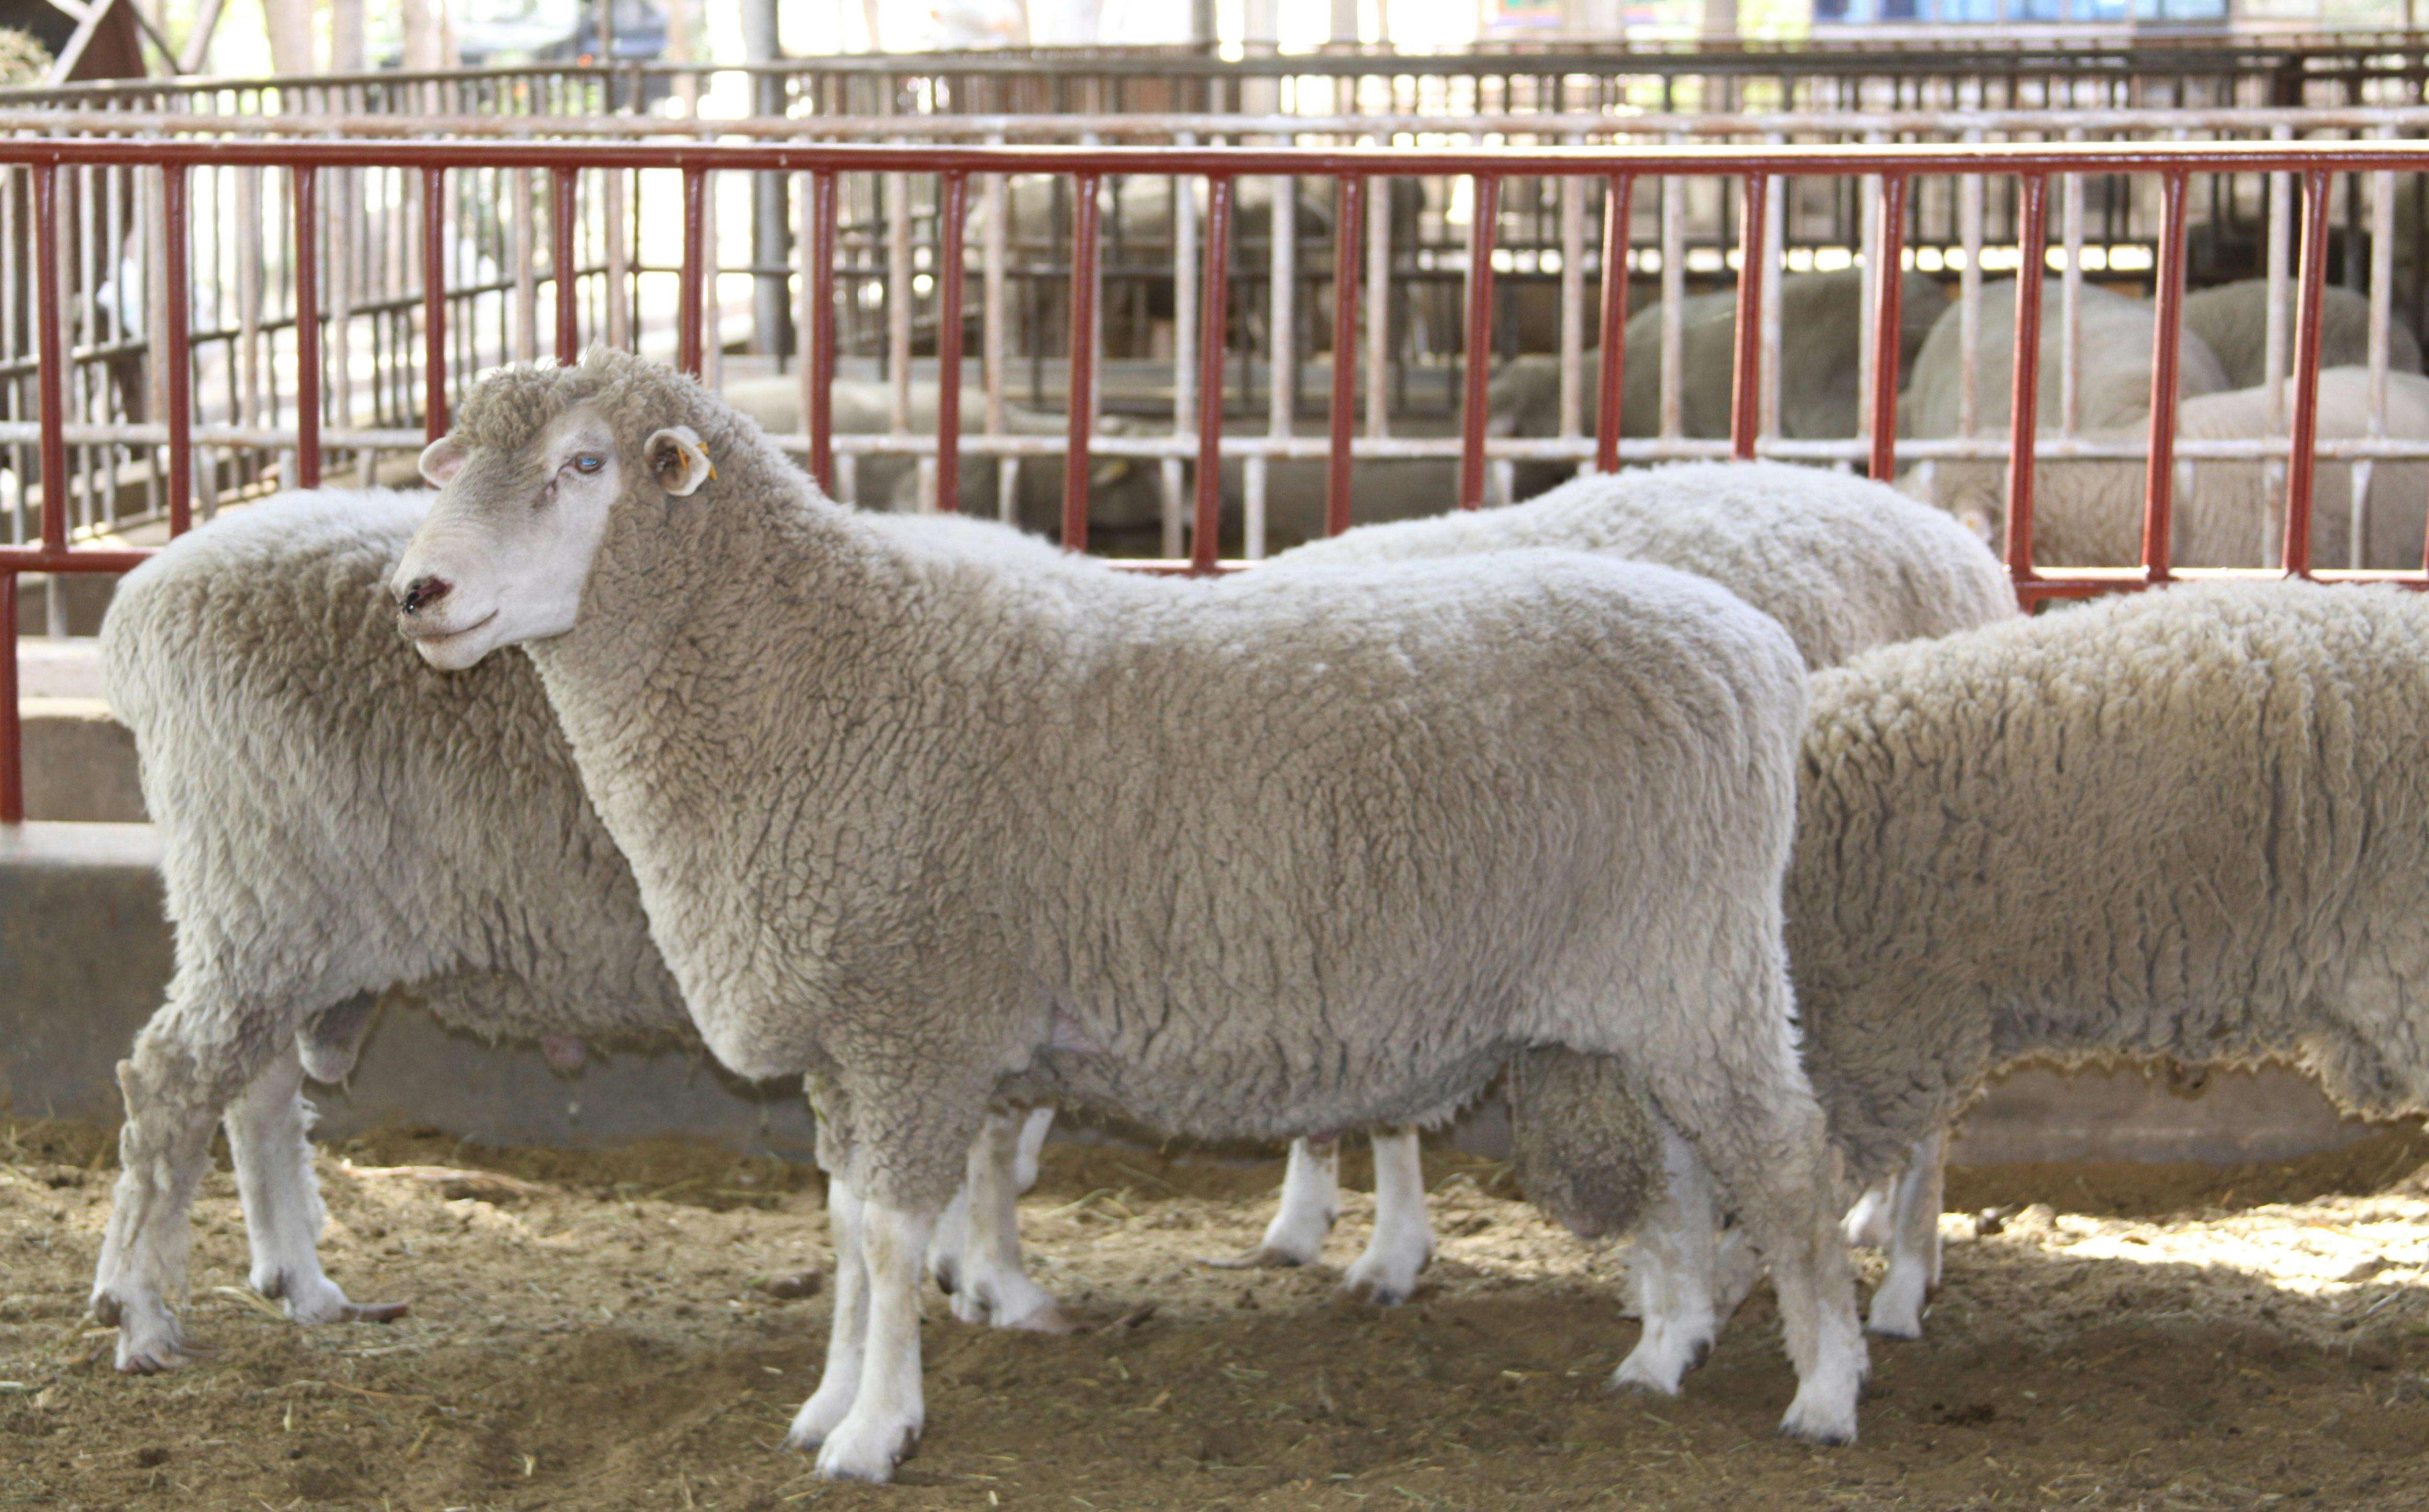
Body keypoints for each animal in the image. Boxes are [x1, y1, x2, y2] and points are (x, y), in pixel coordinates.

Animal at [89, 491, 1059, 1381]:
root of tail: (144, 600)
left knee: (253, 1087)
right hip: (264, 885)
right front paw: (1001, 1284)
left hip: (289, 909)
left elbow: (993, 1138)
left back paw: (297, 1280)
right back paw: (140, 1311)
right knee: (171, 1082)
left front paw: (966, 1270)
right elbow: (1002, 1142)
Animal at [393, 352, 1875, 1478]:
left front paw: (873, 1430)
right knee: (1687, 1163)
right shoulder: (848, 1037)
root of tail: (1754, 650)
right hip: (1640, 995)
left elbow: (890, 1235)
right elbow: (845, 1225)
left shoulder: (917, 1021)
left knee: (1790, 1163)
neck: (818, 669)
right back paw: (1661, 1353)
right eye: (443, 466)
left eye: (586, 464)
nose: (416, 592)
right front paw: (826, 1401)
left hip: (1698, 967)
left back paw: (1825, 1392)